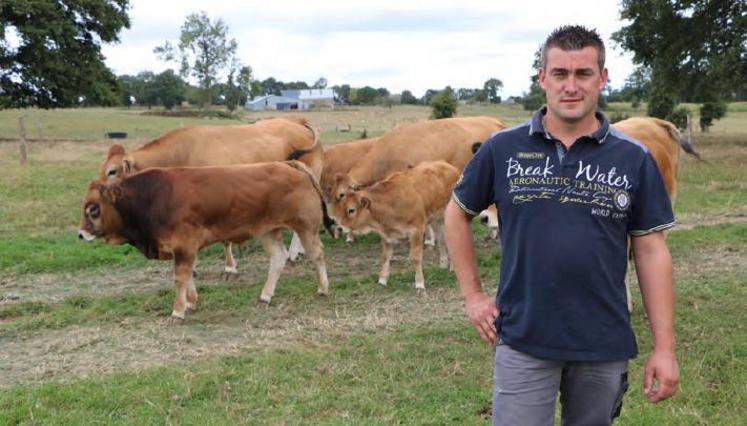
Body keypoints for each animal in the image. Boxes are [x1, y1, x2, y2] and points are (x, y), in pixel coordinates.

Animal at [78, 161, 330, 322]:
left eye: (94, 209)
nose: (80, 234)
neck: (151, 198)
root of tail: (288, 164)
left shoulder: (184, 245)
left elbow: (181, 277)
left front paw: (178, 311)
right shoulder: (185, 249)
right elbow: (189, 274)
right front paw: (191, 302)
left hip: (306, 227)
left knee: (317, 255)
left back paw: (323, 289)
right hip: (268, 231)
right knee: (278, 258)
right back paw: (265, 296)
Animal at [99, 116, 322, 270]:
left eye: (112, 171)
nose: (97, 191)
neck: (184, 152)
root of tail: (298, 123)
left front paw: (230, 266)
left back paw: (294, 252)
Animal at [334, 161, 462, 292]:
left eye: (351, 210)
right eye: (341, 207)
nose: (339, 227)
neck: (391, 202)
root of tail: (448, 166)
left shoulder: (416, 230)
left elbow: (415, 257)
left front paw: (419, 283)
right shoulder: (386, 235)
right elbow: (385, 257)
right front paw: (382, 280)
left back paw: (452, 267)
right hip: (436, 219)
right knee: (442, 239)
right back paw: (443, 264)